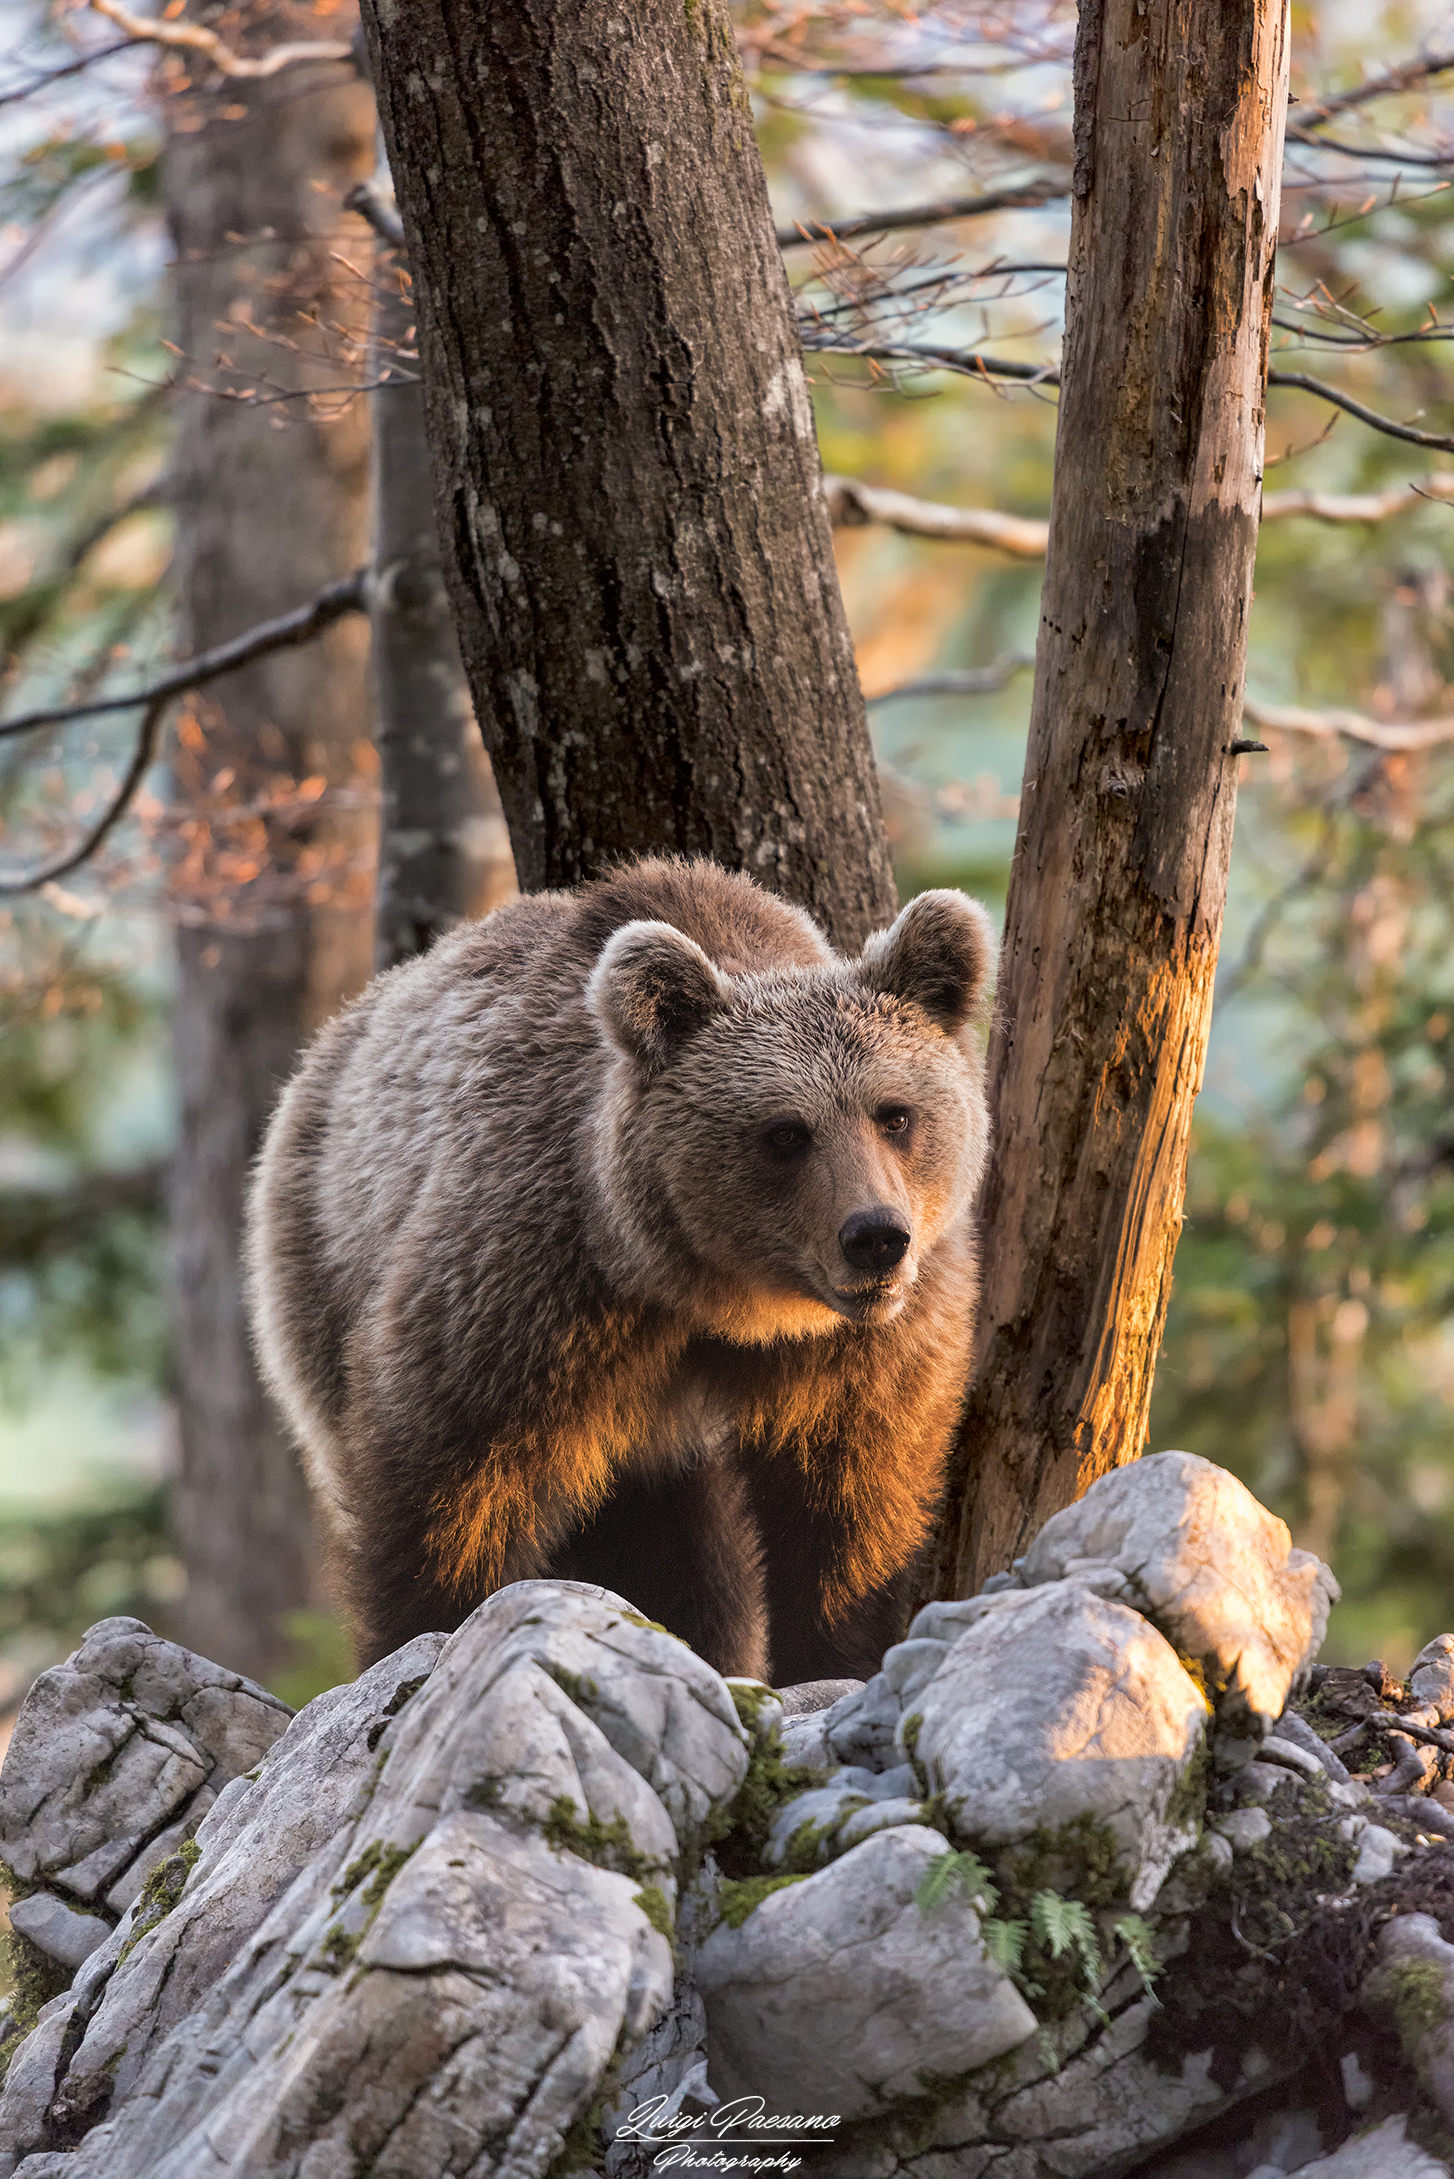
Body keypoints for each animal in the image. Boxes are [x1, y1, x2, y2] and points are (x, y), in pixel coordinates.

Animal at [245, 857, 994, 1684]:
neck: (717, 1292)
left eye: (895, 1114)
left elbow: (850, 1499)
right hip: (315, 1253)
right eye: (785, 1132)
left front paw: (838, 1654)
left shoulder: (864, 1341)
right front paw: (425, 1632)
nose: (875, 1237)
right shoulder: (534, 1278)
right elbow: (447, 1474)